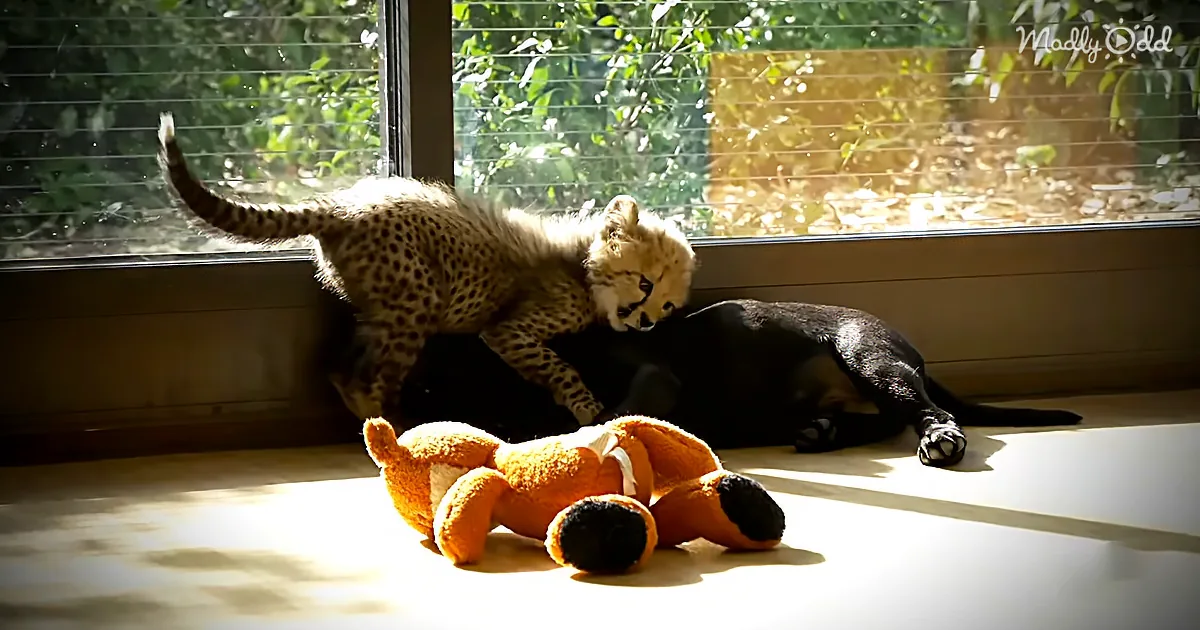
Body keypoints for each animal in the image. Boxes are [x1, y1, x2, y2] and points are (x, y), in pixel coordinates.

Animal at [155, 112, 696, 427]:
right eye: (644, 283)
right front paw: (586, 408)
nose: (647, 321)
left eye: (668, 305)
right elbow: (558, 367)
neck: (583, 264)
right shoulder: (509, 332)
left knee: (341, 368)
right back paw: (393, 430)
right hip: (415, 302)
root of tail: (346, 205)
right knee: (365, 380)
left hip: (385, 307)